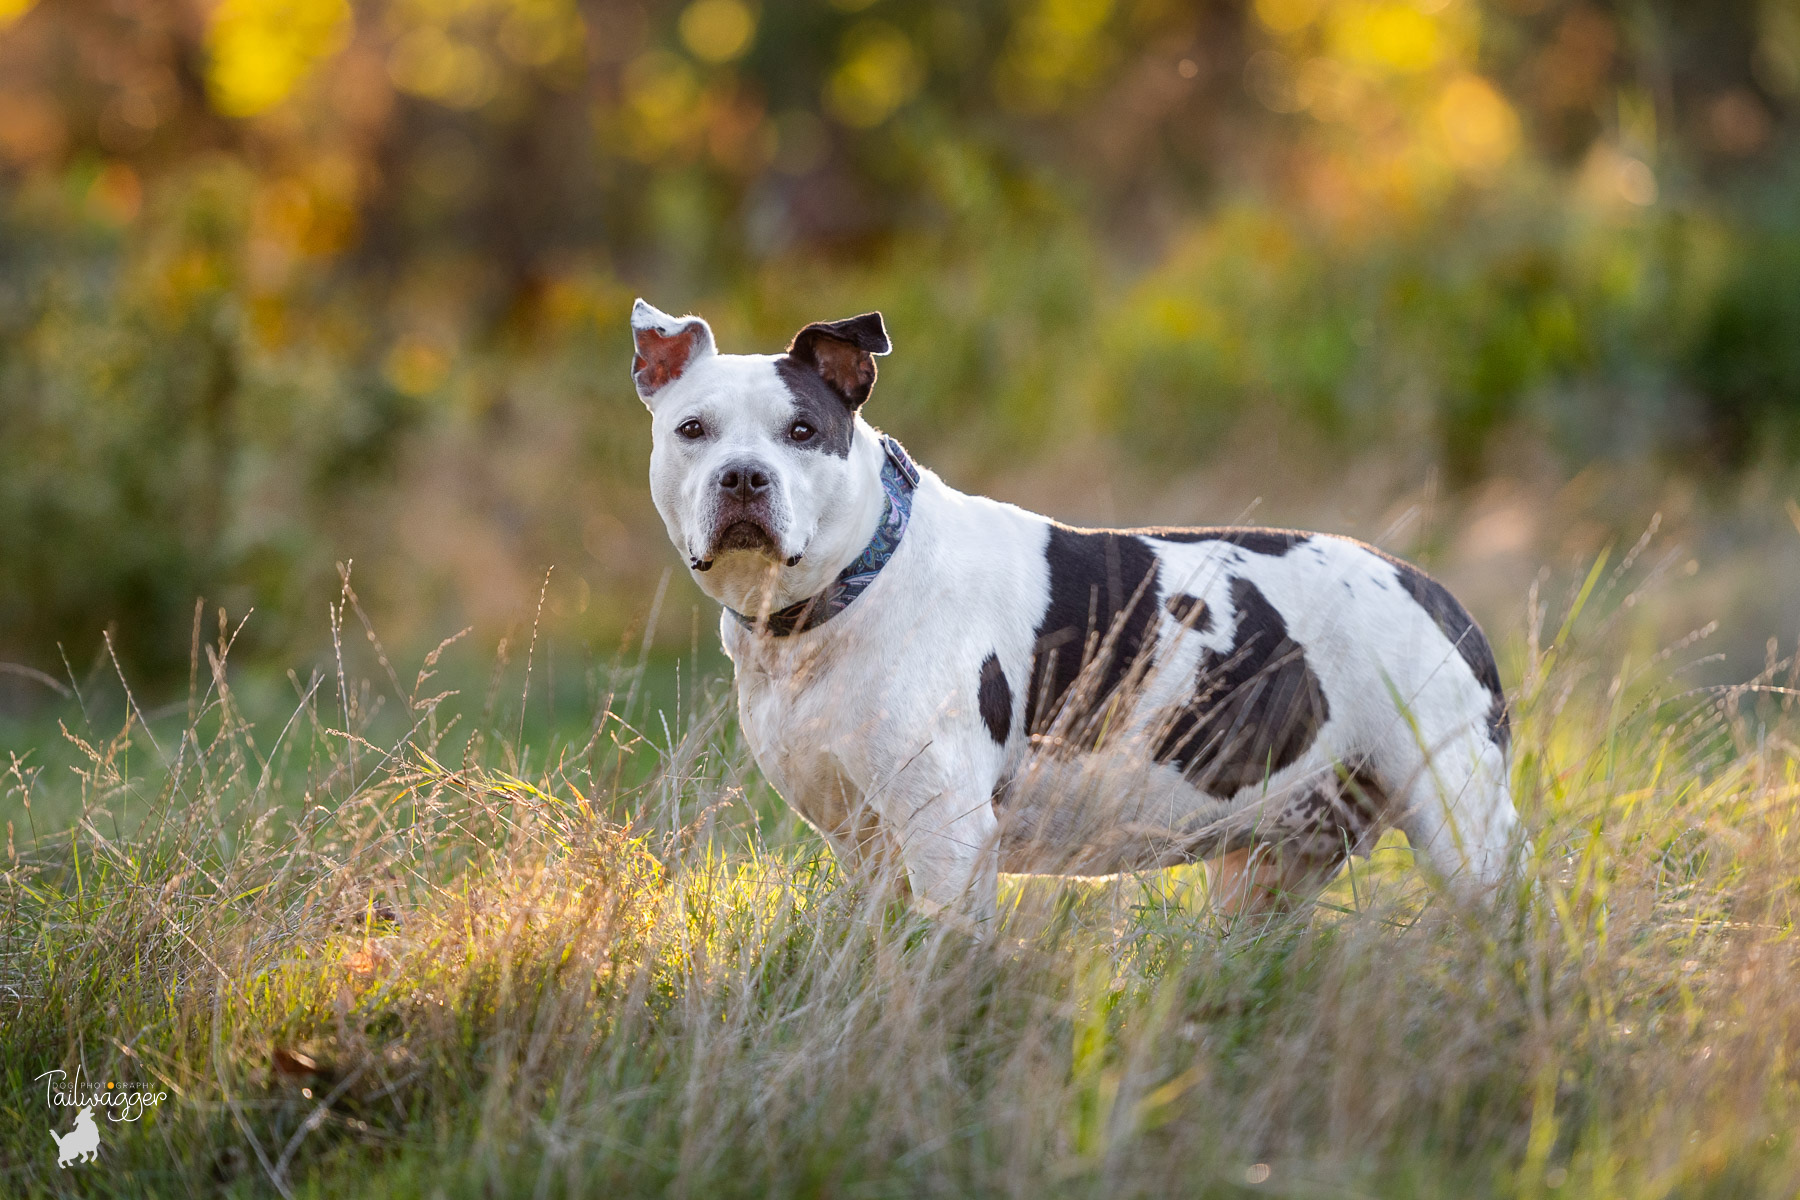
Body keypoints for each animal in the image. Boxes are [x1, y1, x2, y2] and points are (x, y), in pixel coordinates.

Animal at [633, 300, 1519, 928]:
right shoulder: (864, 843)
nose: (744, 477)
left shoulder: (947, 836)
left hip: (1462, 831)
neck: (840, 597)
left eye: (803, 430)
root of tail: (1435, 592)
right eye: (692, 429)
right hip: (1270, 869)